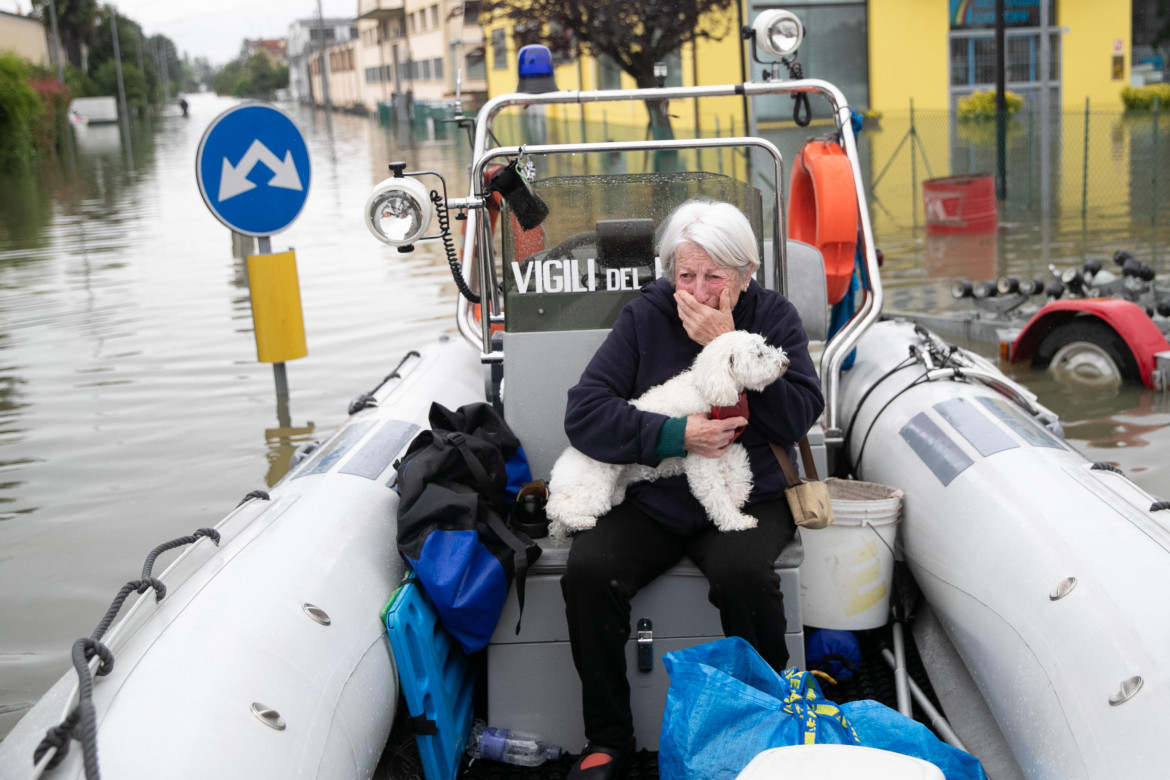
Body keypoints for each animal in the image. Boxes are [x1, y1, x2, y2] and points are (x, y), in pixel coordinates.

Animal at [545, 332, 786, 542]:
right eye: (759, 354)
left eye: (764, 346)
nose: (786, 362)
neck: (705, 389)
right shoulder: (702, 458)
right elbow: (715, 495)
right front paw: (736, 521)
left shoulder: (725, 444)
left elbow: (739, 467)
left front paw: (737, 496)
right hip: (592, 489)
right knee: (555, 508)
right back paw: (582, 521)